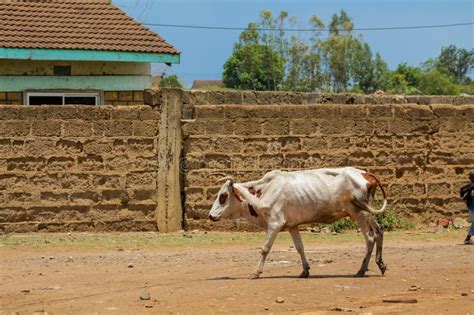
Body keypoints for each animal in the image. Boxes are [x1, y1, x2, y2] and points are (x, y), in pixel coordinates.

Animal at [209, 168, 386, 278]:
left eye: (223, 196)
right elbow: (300, 248)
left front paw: (256, 272)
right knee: (379, 232)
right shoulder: (292, 226)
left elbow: (265, 249)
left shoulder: (275, 224)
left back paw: (361, 270)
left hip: (361, 214)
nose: (210, 215)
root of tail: (366, 173)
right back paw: (380, 264)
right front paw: (305, 271)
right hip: (368, 214)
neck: (263, 191)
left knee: (370, 238)